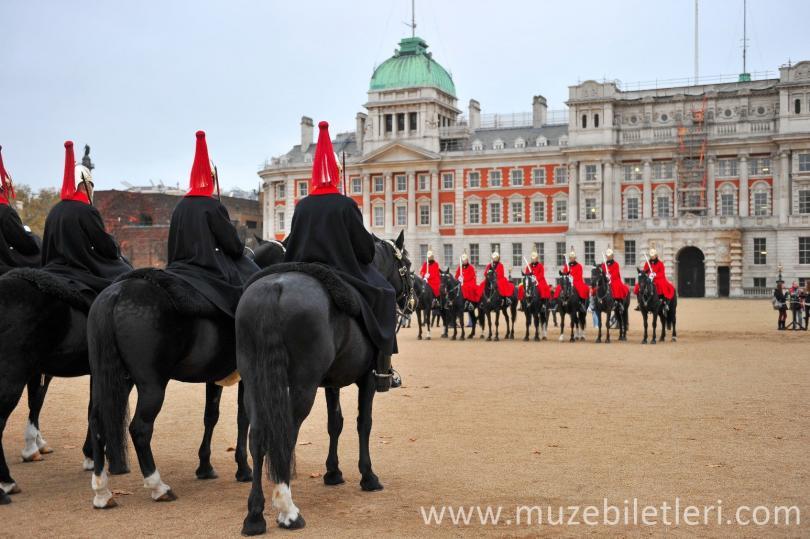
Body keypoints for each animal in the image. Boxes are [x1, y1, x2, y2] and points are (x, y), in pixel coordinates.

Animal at [85, 243, 284, 512]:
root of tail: (118, 293)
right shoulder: (247, 377)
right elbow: (243, 419)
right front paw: (243, 468)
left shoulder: (214, 377)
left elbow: (211, 416)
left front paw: (205, 466)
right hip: (152, 386)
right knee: (140, 429)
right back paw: (158, 487)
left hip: (114, 380)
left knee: (98, 421)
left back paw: (102, 491)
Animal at [234, 233, 410, 536]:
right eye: (407, 265)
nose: (414, 298)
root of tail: (274, 287)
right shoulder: (366, 379)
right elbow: (364, 423)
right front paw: (368, 476)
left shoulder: (331, 382)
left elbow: (335, 423)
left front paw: (333, 472)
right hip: (302, 385)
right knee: (286, 434)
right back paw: (288, 510)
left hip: (255, 381)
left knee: (257, 435)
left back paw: (255, 515)